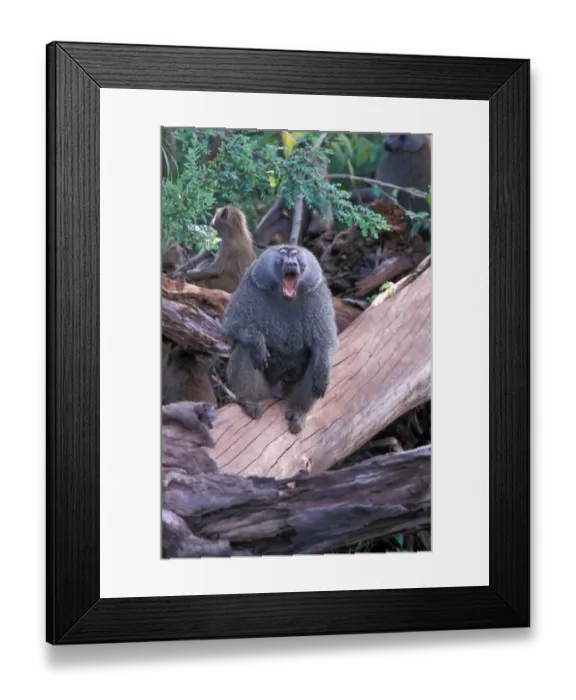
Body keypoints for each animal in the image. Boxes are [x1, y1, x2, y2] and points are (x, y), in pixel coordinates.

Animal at [222, 244, 338, 434]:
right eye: (283, 253)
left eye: (295, 253)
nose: (291, 263)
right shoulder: (251, 285)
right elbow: (232, 327)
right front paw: (258, 343)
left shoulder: (318, 292)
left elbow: (325, 341)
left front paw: (323, 372)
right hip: (264, 390)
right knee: (245, 348)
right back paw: (249, 401)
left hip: (291, 390)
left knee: (315, 358)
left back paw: (298, 412)